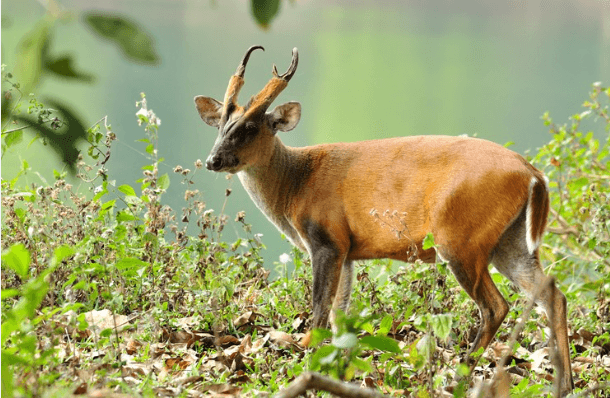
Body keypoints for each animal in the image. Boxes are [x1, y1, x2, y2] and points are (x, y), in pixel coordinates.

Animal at [194, 45, 568, 394]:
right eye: (221, 124)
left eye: (250, 127)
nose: (213, 160)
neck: (295, 184)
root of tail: (533, 174)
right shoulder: (346, 249)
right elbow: (339, 314)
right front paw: (336, 363)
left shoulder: (325, 239)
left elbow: (319, 308)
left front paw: (306, 359)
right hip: (511, 241)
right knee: (552, 294)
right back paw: (565, 384)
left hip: (460, 237)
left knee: (495, 306)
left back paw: (460, 375)